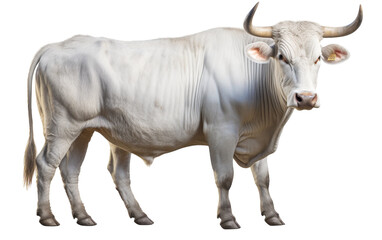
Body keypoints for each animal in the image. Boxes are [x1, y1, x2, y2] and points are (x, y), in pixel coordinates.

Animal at [23, 3, 364, 229]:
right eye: (282, 56)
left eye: (318, 58)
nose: (305, 98)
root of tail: (57, 45)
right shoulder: (221, 132)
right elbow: (224, 177)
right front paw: (228, 218)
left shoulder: (257, 137)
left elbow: (263, 178)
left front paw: (272, 215)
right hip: (62, 126)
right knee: (47, 164)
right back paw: (48, 216)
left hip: (85, 130)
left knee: (79, 170)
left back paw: (98, 216)